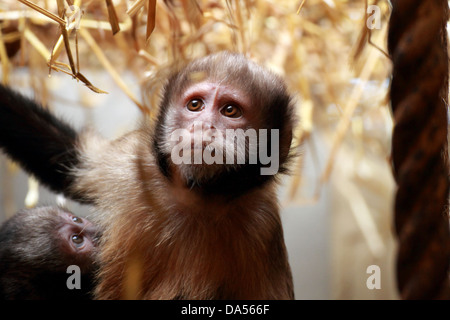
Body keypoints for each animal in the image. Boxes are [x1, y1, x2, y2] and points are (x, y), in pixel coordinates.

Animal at [0, 51, 296, 298]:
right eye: (195, 105)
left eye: (230, 111)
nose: (202, 126)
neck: (195, 198)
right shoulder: (132, 164)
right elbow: (65, 158)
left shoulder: (262, 226)